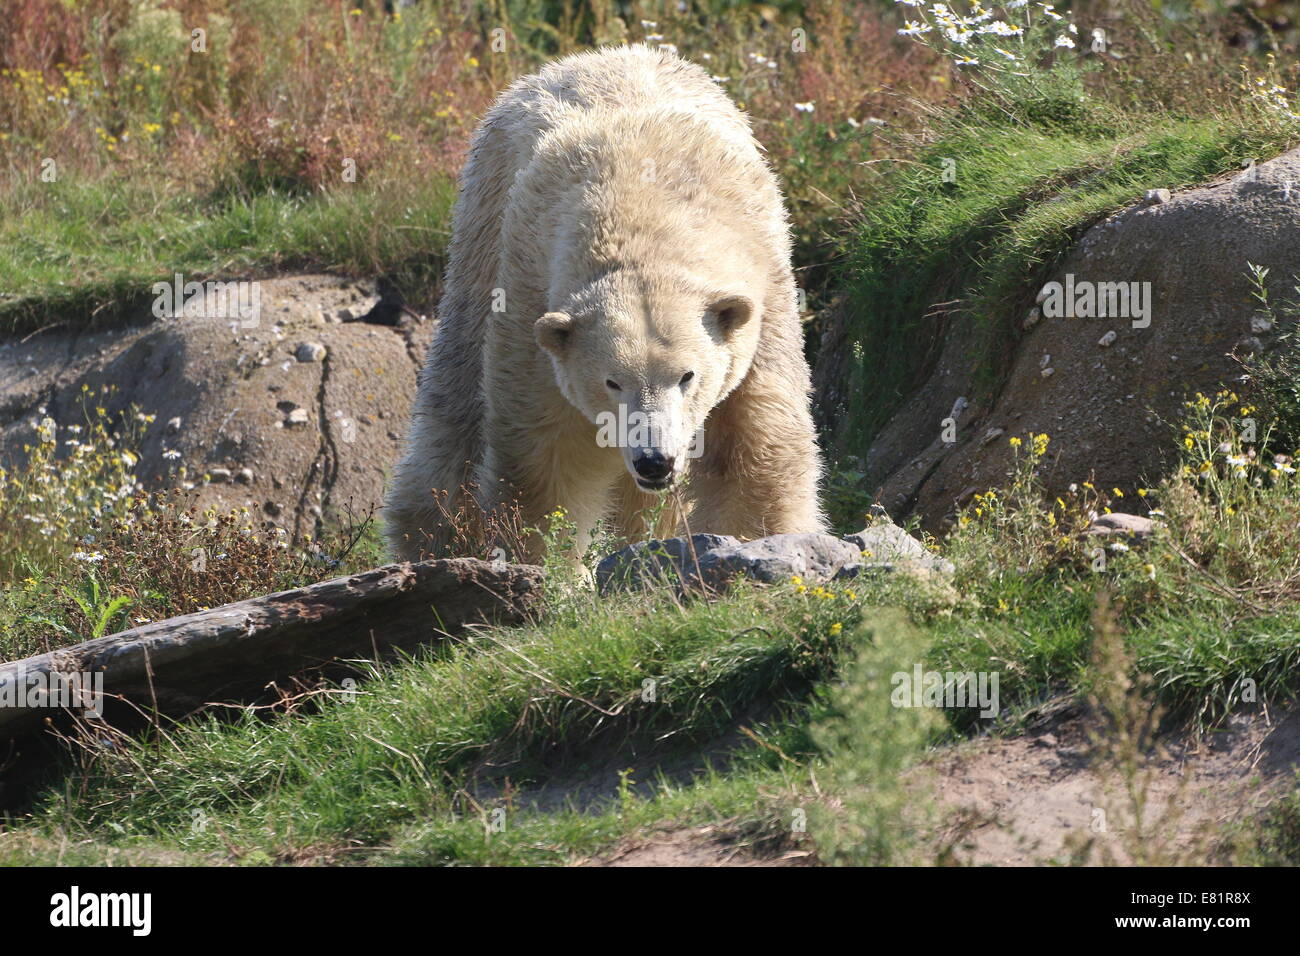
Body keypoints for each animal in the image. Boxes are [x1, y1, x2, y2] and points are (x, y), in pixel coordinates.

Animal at [384, 46, 826, 561]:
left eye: (688, 376)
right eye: (611, 381)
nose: (655, 461)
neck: (647, 212)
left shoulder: (763, 295)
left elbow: (755, 445)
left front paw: (764, 540)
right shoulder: (533, 293)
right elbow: (547, 456)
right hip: (481, 230)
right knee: (456, 399)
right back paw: (431, 533)